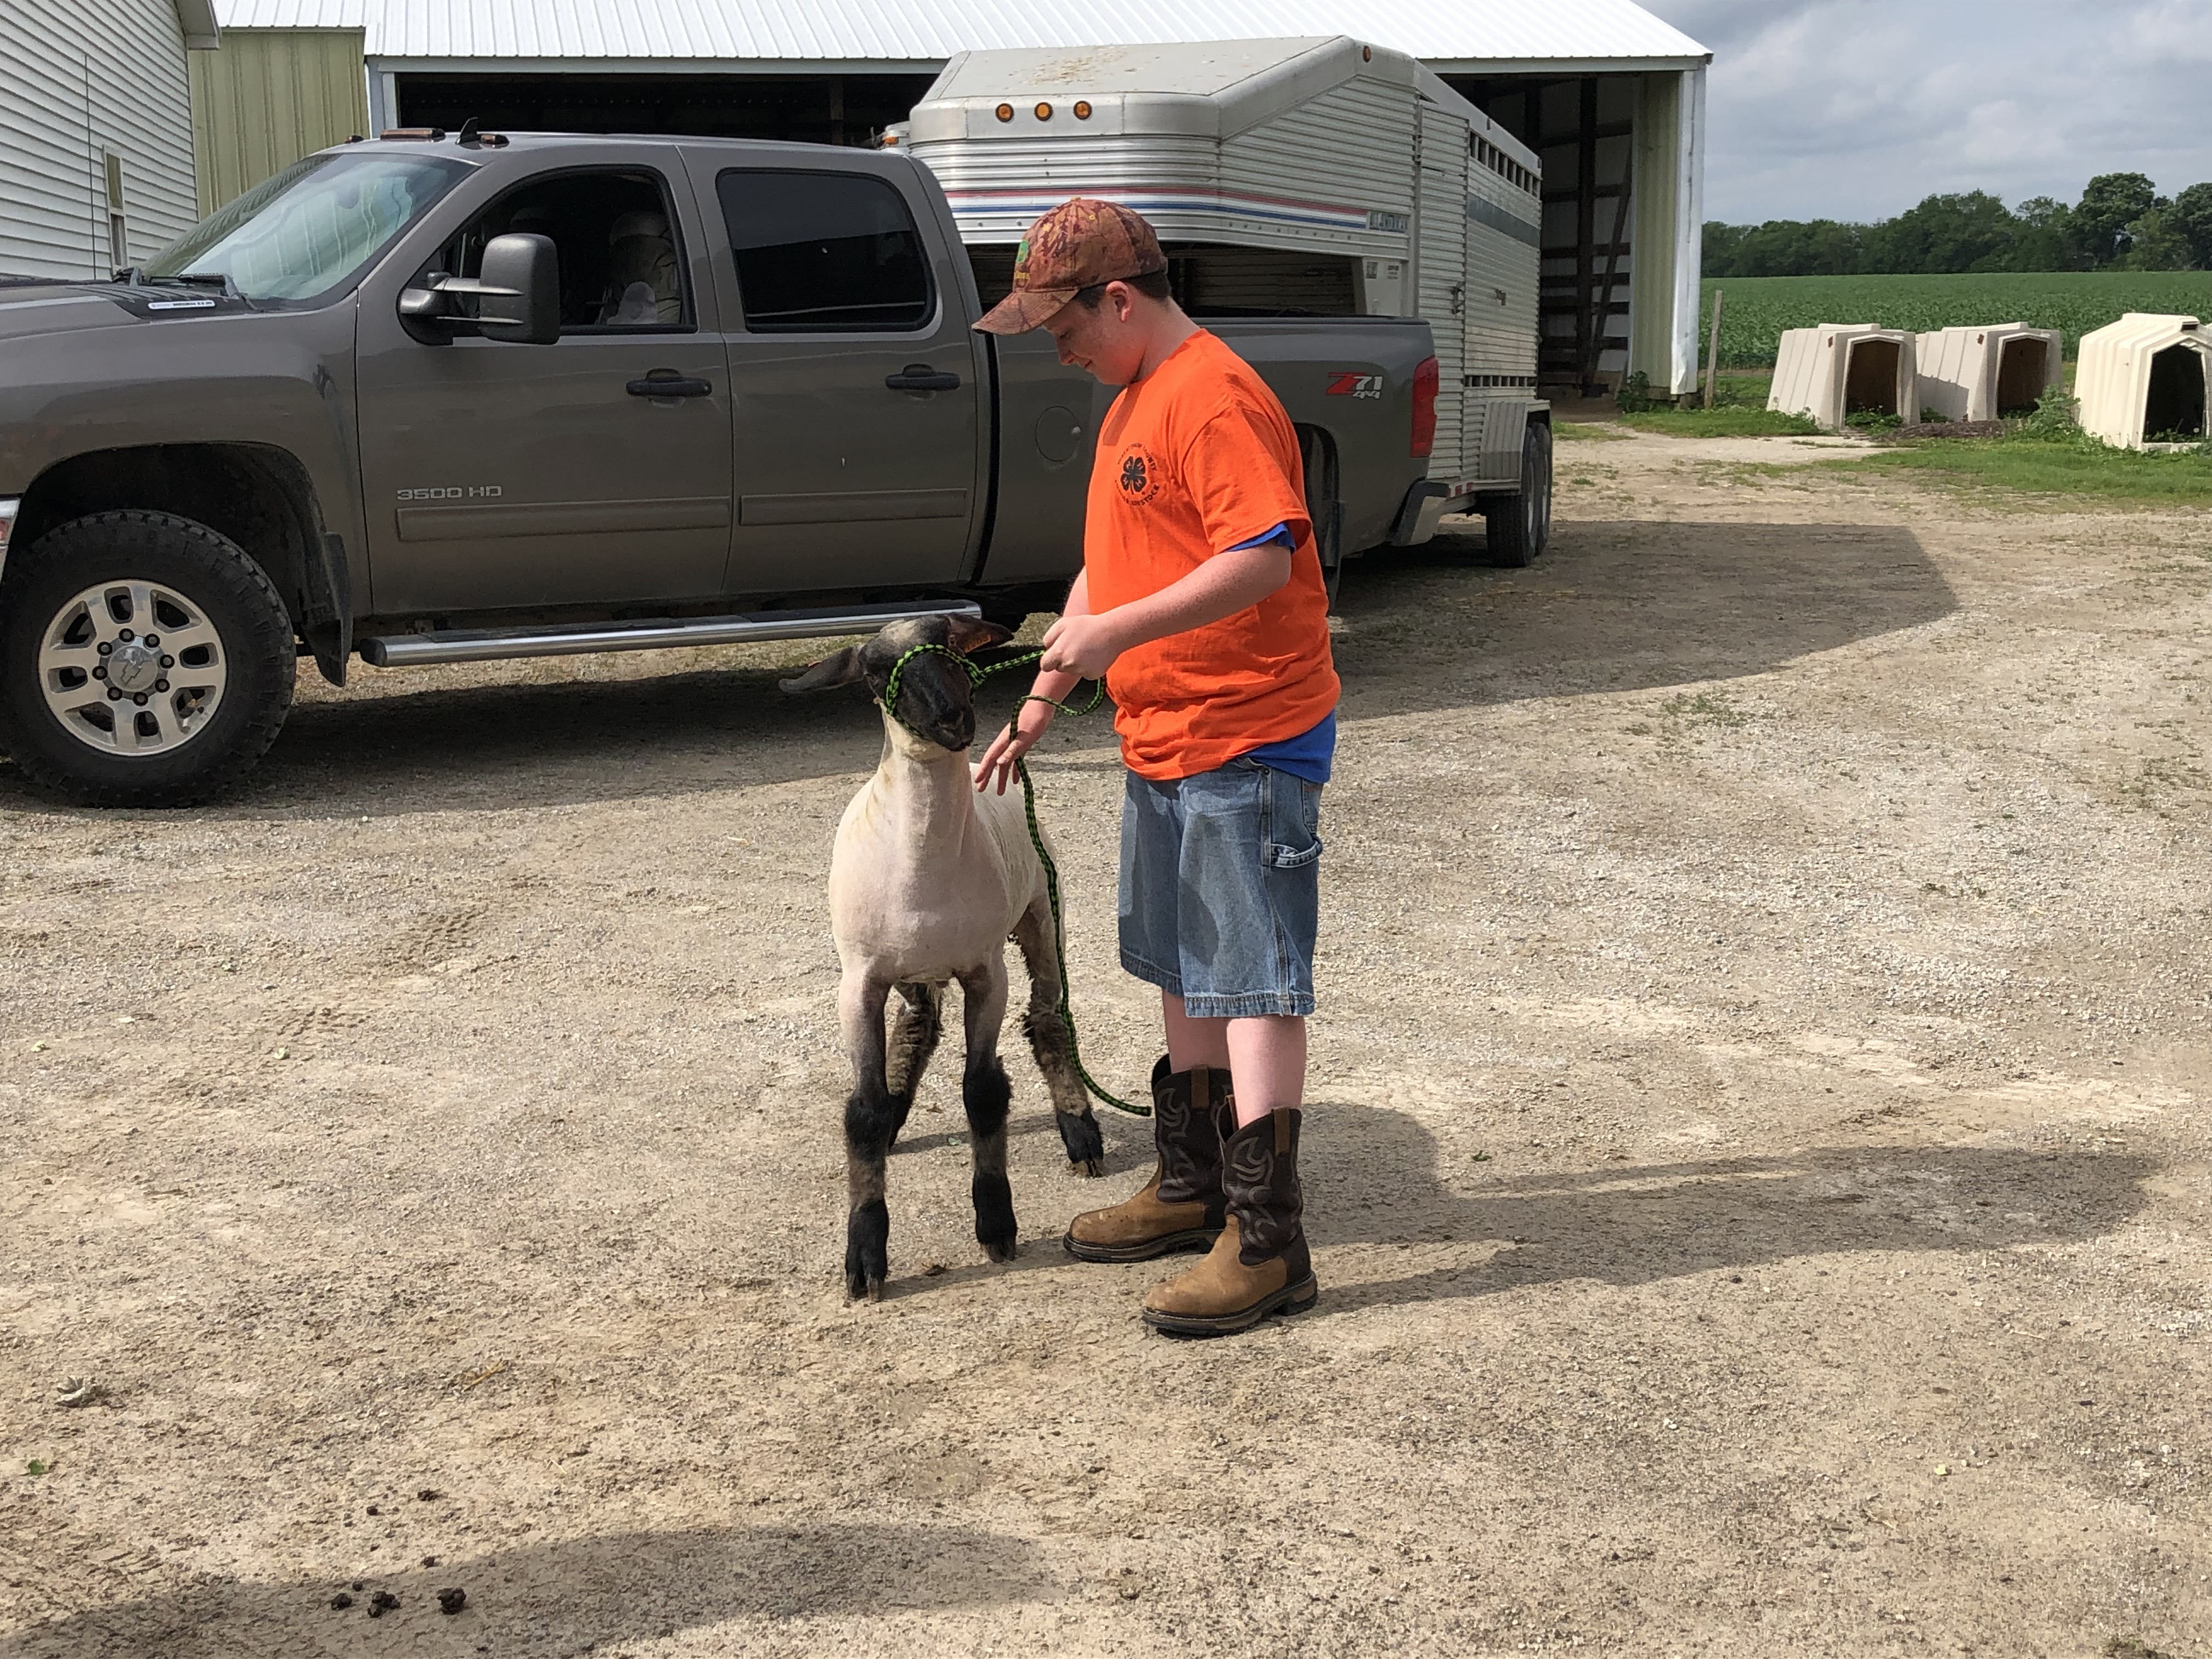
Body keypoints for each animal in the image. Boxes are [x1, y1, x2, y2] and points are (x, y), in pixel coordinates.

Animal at [787, 619, 1115, 1309]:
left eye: (953, 648)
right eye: (875, 669)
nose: (954, 717)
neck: (922, 862)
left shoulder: (986, 971)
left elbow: (983, 1092)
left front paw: (996, 1224)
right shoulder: (858, 983)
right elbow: (861, 1110)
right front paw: (865, 1257)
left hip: (1044, 914)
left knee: (1050, 1018)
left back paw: (1081, 1132)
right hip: (909, 971)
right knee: (918, 1028)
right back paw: (896, 1115)